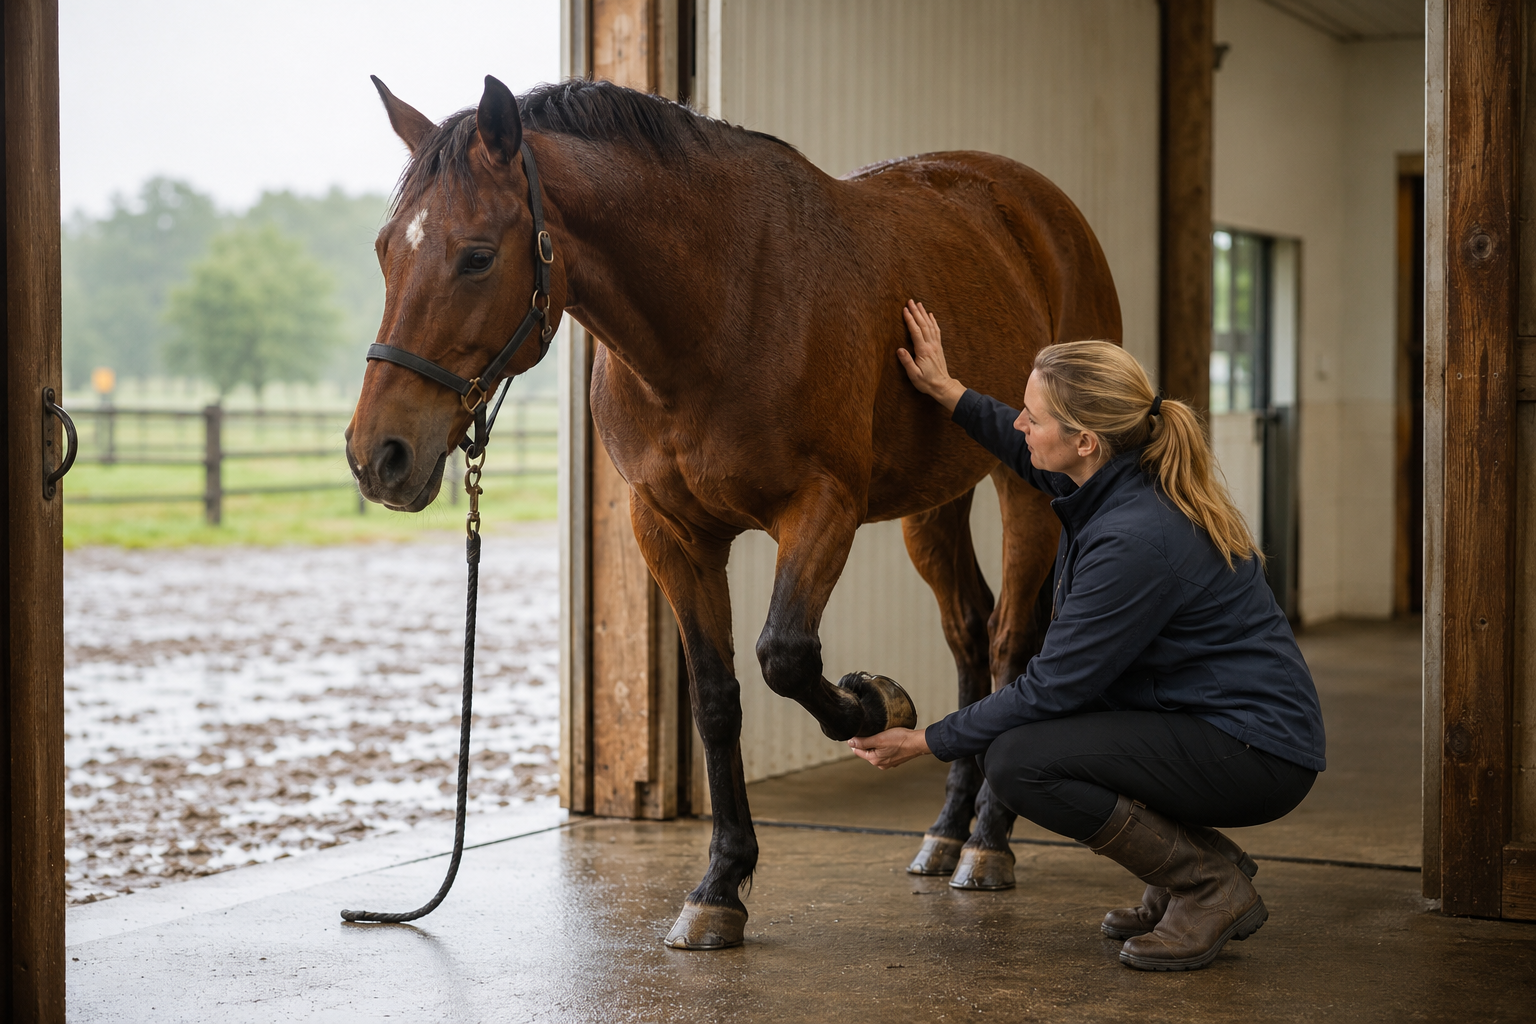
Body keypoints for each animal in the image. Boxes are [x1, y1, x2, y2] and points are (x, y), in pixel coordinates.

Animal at [346, 75, 1122, 950]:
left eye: (477, 255)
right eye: (385, 250)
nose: (378, 455)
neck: (718, 306)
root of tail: (1036, 206)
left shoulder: (822, 509)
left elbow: (785, 655)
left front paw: (876, 701)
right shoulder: (670, 534)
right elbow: (716, 699)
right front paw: (719, 886)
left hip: (1030, 488)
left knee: (1010, 640)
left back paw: (988, 840)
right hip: (937, 500)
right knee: (968, 629)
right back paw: (947, 831)